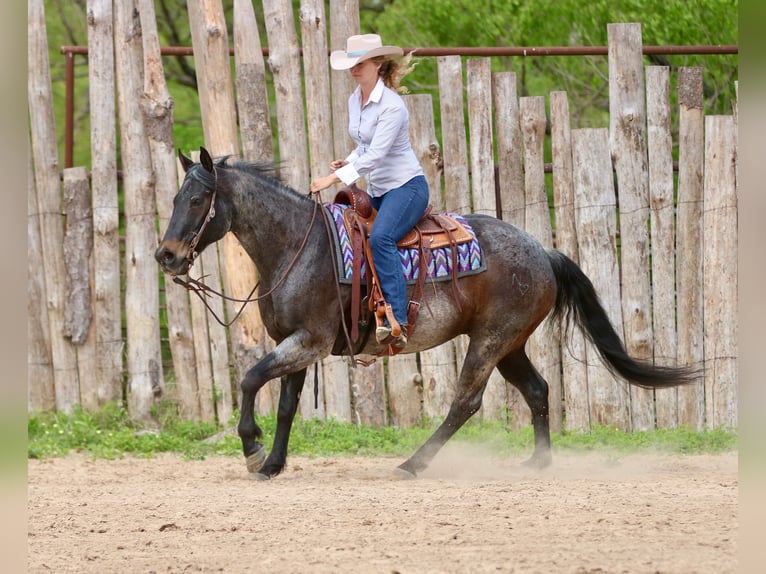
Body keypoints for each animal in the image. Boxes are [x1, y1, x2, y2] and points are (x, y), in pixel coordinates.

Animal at [155, 147, 697, 480]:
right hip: (509, 344)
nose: (167, 256)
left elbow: (250, 380)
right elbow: (285, 405)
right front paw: (272, 464)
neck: (298, 246)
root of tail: (544, 252)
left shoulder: (308, 342)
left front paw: (250, 450)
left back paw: (413, 464)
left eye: (199, 198)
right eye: (176, 196)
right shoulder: (294, 344)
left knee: (465, 403)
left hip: (490, 342)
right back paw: (538, 464)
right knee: (538, 390)